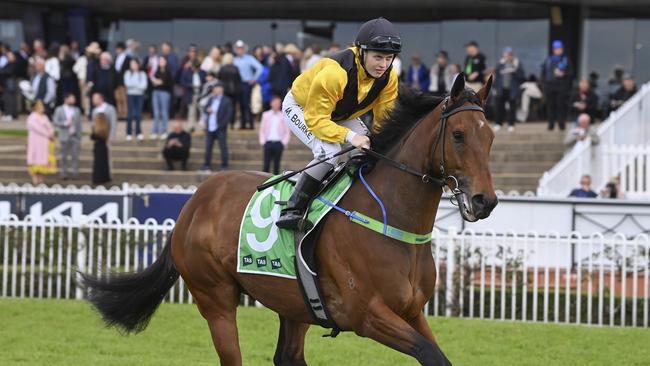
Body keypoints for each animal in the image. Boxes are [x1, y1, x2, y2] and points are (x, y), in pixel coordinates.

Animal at [81, 73, 496, 364]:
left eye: (490, 137)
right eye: (458, 135)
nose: (485, 201)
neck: (389, 218)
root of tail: (195, 201)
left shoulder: (412, 312)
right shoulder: (367, 315)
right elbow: (430, 354)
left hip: (294, 303)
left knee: (288, 356)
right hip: (214, 297)